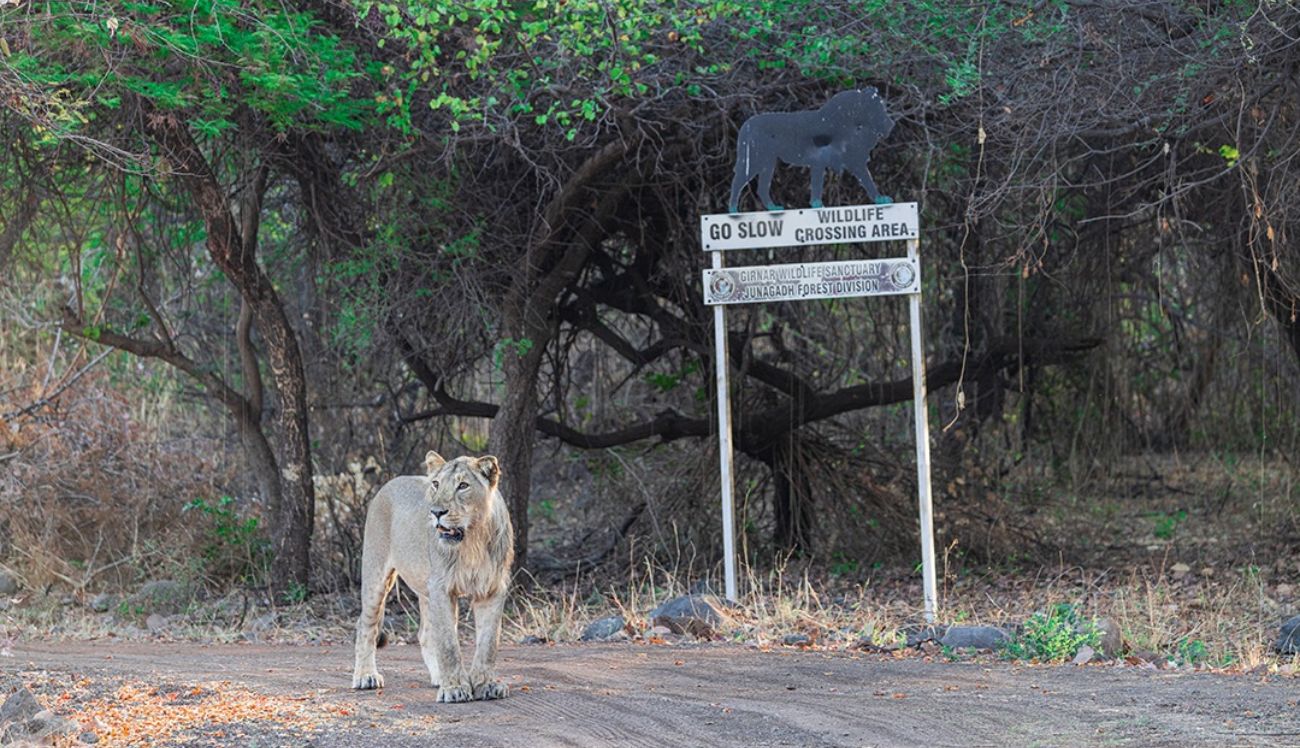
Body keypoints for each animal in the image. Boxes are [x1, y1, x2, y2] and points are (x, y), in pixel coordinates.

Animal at [356, 452, 517, 707]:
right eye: (436, 484)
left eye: (463, 486)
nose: (437, 512)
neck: (472, 541)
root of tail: (389, 484)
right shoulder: (442, 588)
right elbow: (448, 644)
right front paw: (455, 689)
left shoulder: (492, 589)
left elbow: (488, 642)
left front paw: (486, 685)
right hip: (376, 575)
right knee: (365, 624)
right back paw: (366, 676)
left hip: (426, 590)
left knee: (425, 634)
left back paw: (439, 677)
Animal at [728, 89, 899, 215]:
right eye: (876, 108)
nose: (891, 124)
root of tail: (746, 124)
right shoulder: (823, 160)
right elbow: (818, 183)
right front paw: (817, 205)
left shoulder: (848, 160)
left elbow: (866, 180)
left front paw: (881, 199)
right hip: (755, 160)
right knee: (738, 181)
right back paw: (733, 210)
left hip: (767, 163)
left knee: (762, 187)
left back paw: (773, 208)